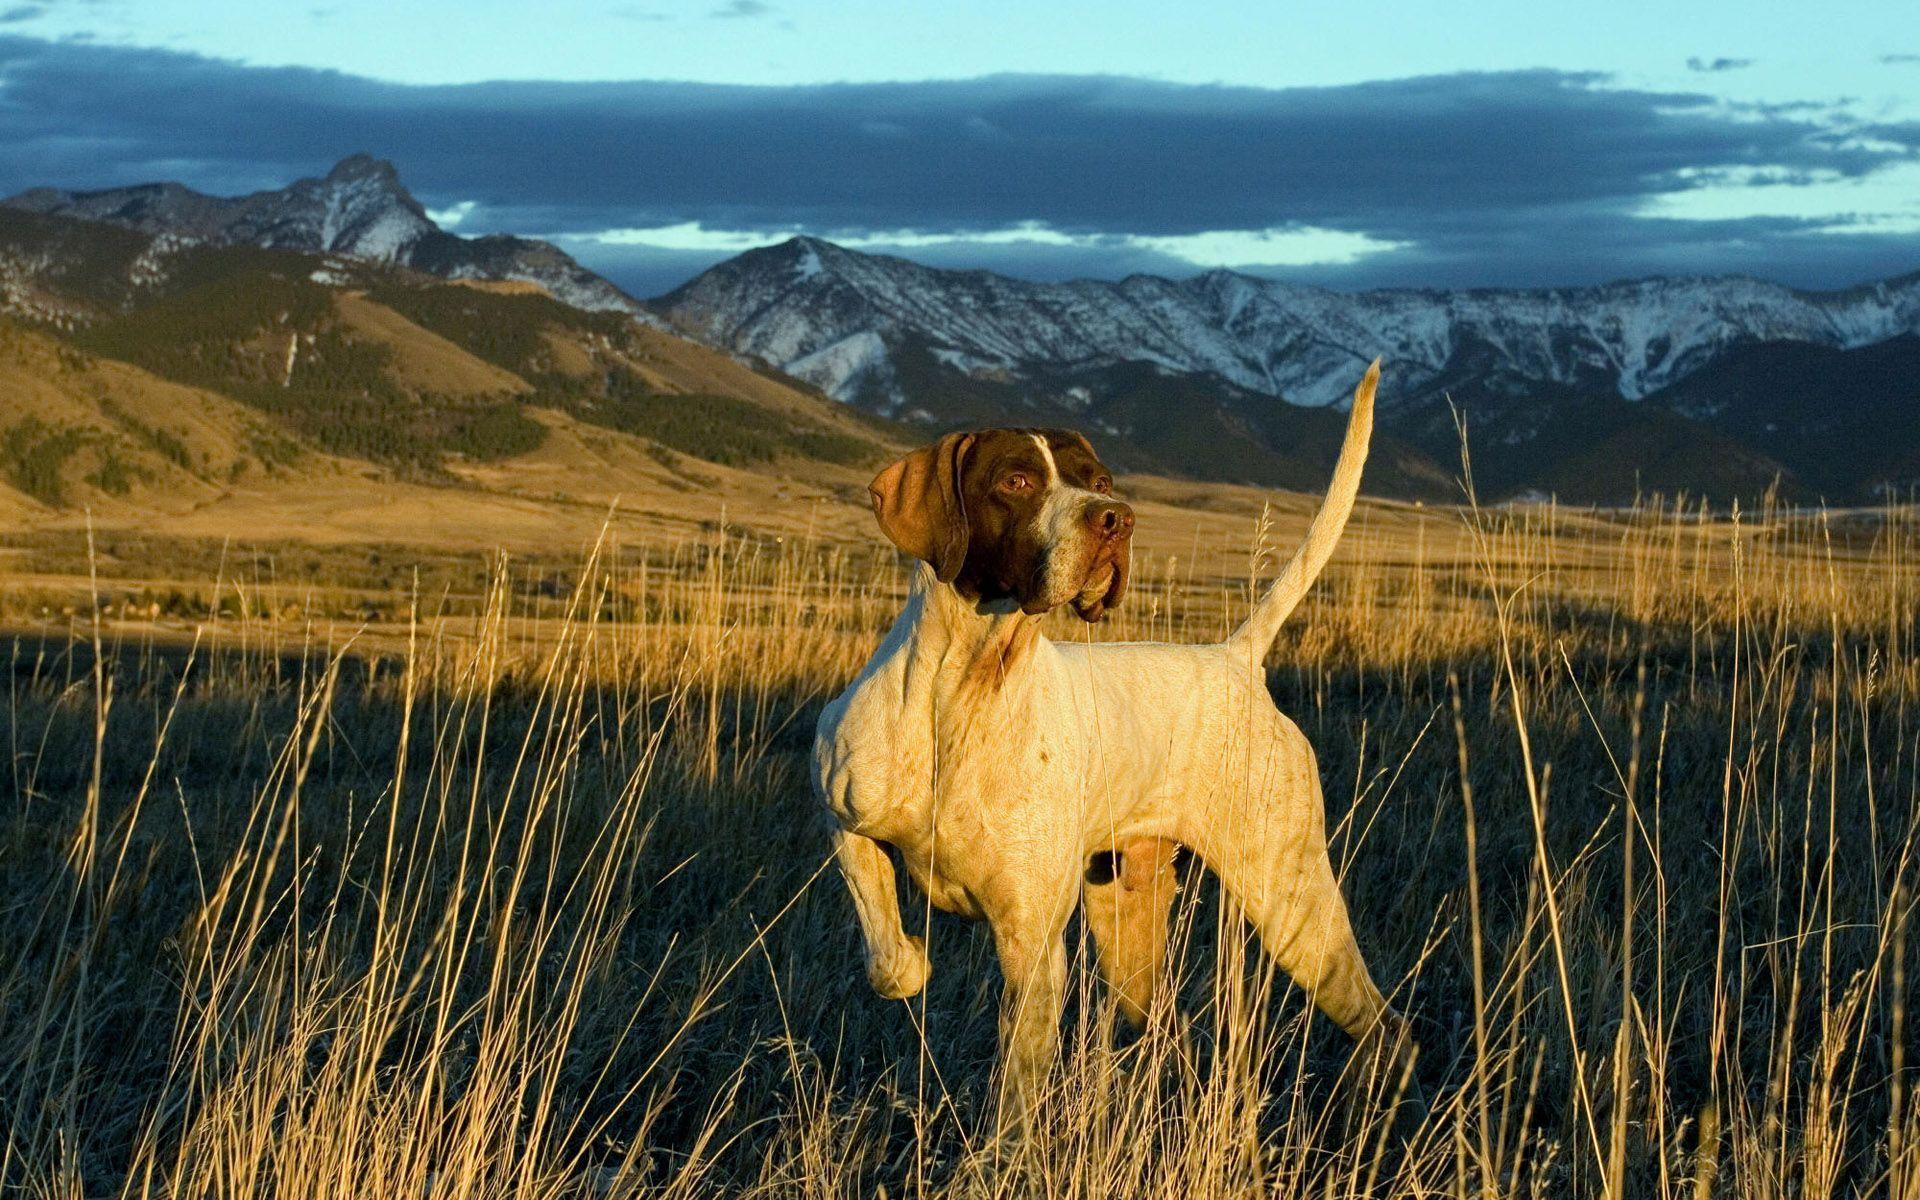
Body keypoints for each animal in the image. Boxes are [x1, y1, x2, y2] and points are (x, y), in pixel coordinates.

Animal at [806, 355, 1397, 1121]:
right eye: (1017, 481)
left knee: (1383, 1022)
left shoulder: (1032, 950)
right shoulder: (843, 814)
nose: (1117, 520)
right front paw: (911, 962)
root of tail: (1236, 659)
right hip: (1129, 919)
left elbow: (1014, 1106)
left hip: (1290, 898)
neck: (962, 691)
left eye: (1103, 481)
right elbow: (888, 961)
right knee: (1169, 1027)